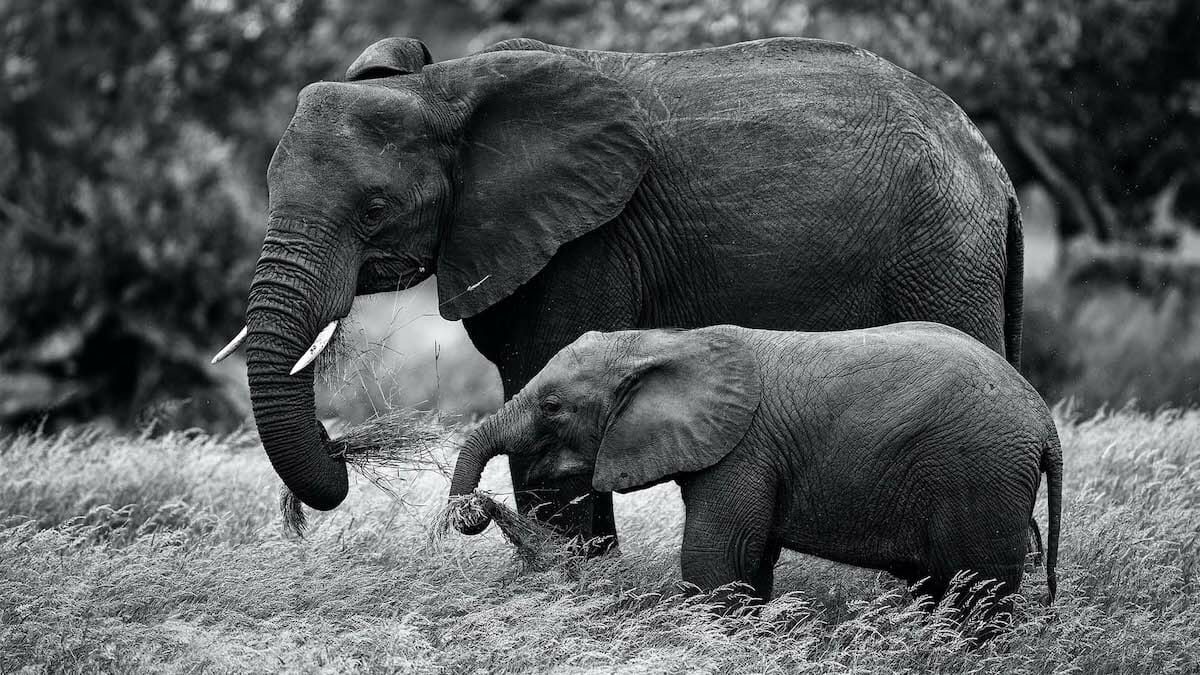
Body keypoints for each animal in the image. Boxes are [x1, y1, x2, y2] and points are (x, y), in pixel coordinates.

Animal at [214, 35, 1025, 554]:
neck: (443, 86)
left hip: (941, 251)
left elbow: (548, 377)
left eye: (375, 208)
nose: (343, 451)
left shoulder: (588, 241)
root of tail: (993, 167)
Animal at [447, 323, 1062, 608]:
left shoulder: (742, 451)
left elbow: (717, 559)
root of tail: (1043, 418)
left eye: (552, 407)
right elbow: (750, 561)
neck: (666, 339)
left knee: (976, 590)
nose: (475, 509)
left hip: (980, 474)